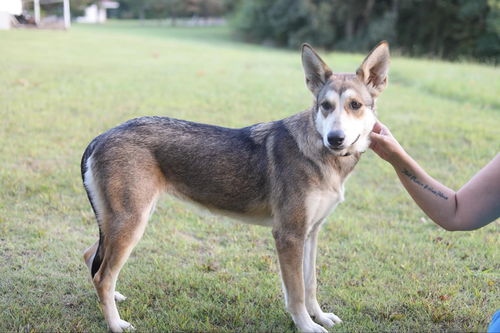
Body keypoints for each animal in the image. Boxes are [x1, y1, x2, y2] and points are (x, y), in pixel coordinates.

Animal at [80, 41, 388, 332]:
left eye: (355, 105)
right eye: (326, 106)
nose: (335, 138)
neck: (320, 152)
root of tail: (101, 137)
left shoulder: (311, 234)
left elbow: (310, 284)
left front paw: (320, 317)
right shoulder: (288, 236)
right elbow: (296, 293)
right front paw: (306, 325)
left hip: (122, 223)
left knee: (91, 259)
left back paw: (113, 299)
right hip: (132, 223)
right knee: (102, 276)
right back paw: (115, 324)